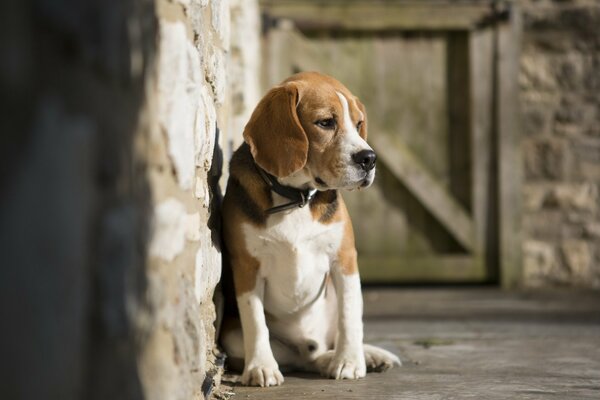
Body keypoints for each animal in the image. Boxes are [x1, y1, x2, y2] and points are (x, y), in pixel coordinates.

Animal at [219, 70, 398, 386]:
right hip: (231, 337)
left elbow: (350, 317)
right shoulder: (246, 267)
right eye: (325, 123)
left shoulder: (345, 259)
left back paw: (364, 356)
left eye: (359, 124)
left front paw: (350, 361)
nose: (369, 158)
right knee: (303, 359)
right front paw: (260, 367)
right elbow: (255, 321)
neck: (297, 199)